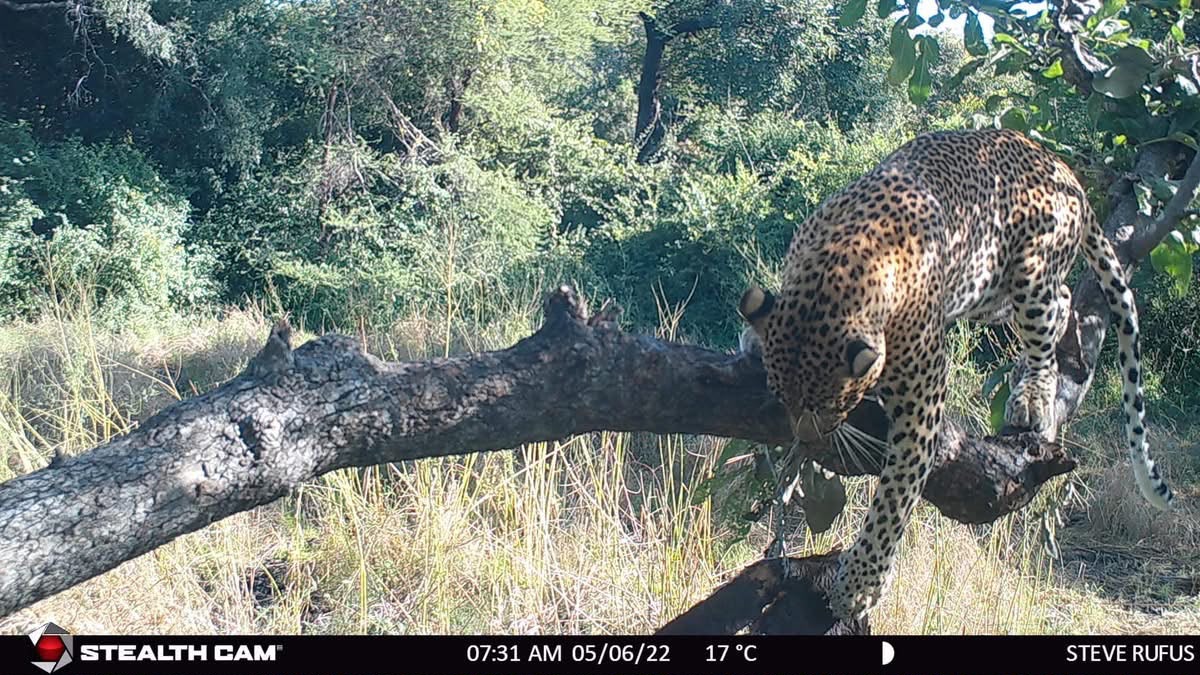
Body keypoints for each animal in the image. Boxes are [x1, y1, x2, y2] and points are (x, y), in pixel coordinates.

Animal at [737, 128, 1174, 621]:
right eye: (783, 400)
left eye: (834, 406)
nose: (807, 441)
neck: (844, 258)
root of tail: (1064, 170)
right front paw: (752, 340)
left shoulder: (923, 400)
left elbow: (894, 498)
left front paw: (860, 585)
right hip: (989, 290)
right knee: (1062, 299)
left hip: (1031, 270)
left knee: (1051, 311)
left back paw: (1033, 395)